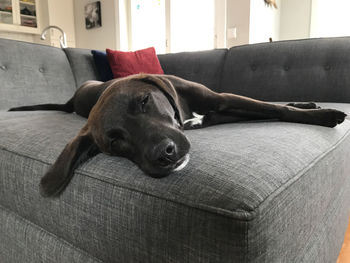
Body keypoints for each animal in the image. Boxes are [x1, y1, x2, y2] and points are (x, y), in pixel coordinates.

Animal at [8, 73, 348, 197]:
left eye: (144, 101)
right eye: (115, 141)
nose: (164, 154)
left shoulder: (220, 103)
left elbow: (274, 107)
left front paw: (321, 114)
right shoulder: (218, 113)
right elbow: (271, 109)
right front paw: (322, 114)